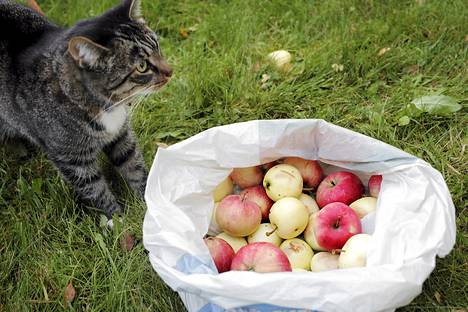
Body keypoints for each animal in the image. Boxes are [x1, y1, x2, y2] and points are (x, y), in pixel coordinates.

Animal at [0, 0, 172, 218]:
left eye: (157, 46)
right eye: (142, 66)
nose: (170, 71)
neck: (108, 105)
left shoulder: (120, 134)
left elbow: (133, 165)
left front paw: (149, 201)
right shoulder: (72, 159)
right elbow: (95, 188)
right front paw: (117, 220)